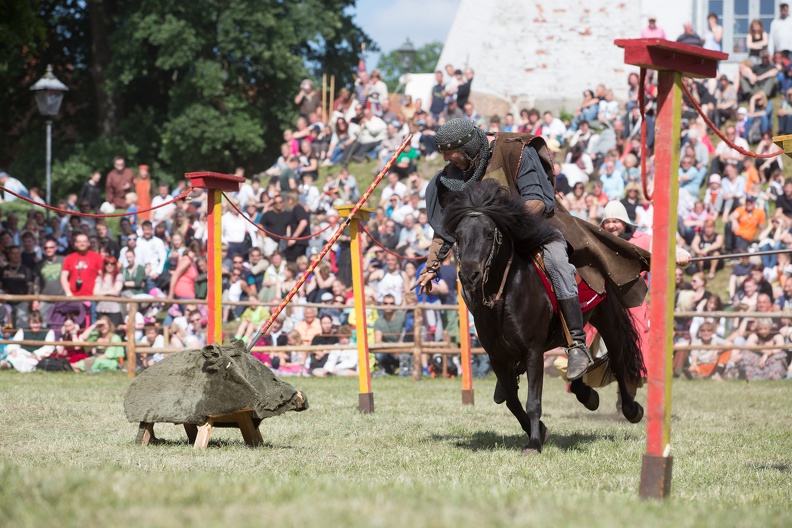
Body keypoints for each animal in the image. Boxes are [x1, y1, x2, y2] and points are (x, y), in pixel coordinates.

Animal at [442, 180, 648, 454]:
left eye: (488, 233)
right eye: (459, 236)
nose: (469, 276)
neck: (505, 294)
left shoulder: (533, 351)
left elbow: (532, 401)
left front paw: (534, 443)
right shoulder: (497, 357)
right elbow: (511, 400)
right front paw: (539, 430)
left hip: (607, 320)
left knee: (617, 360)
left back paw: (631, 409)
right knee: (577, 361)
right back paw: (587, 393)